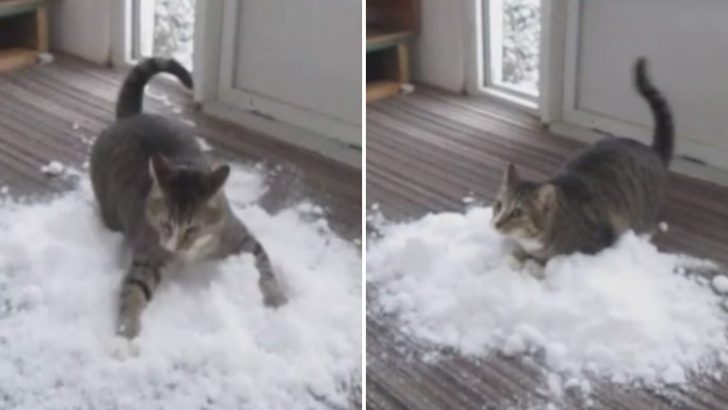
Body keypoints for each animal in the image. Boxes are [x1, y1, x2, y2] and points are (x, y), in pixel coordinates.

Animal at [89, 58, 286, 340]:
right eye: (164, 224)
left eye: (193, 228)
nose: (174, 248)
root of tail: (130, 116)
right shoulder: (150, 249)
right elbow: (135, 288)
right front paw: (126, 334)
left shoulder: (239, 236)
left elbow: (264, 267)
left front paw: (277, 300)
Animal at [492, 57, 672, 264]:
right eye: (498, 205)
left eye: (518, 212)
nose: (496, 223)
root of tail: (652, 151)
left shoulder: (597, 241)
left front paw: (535, 265)